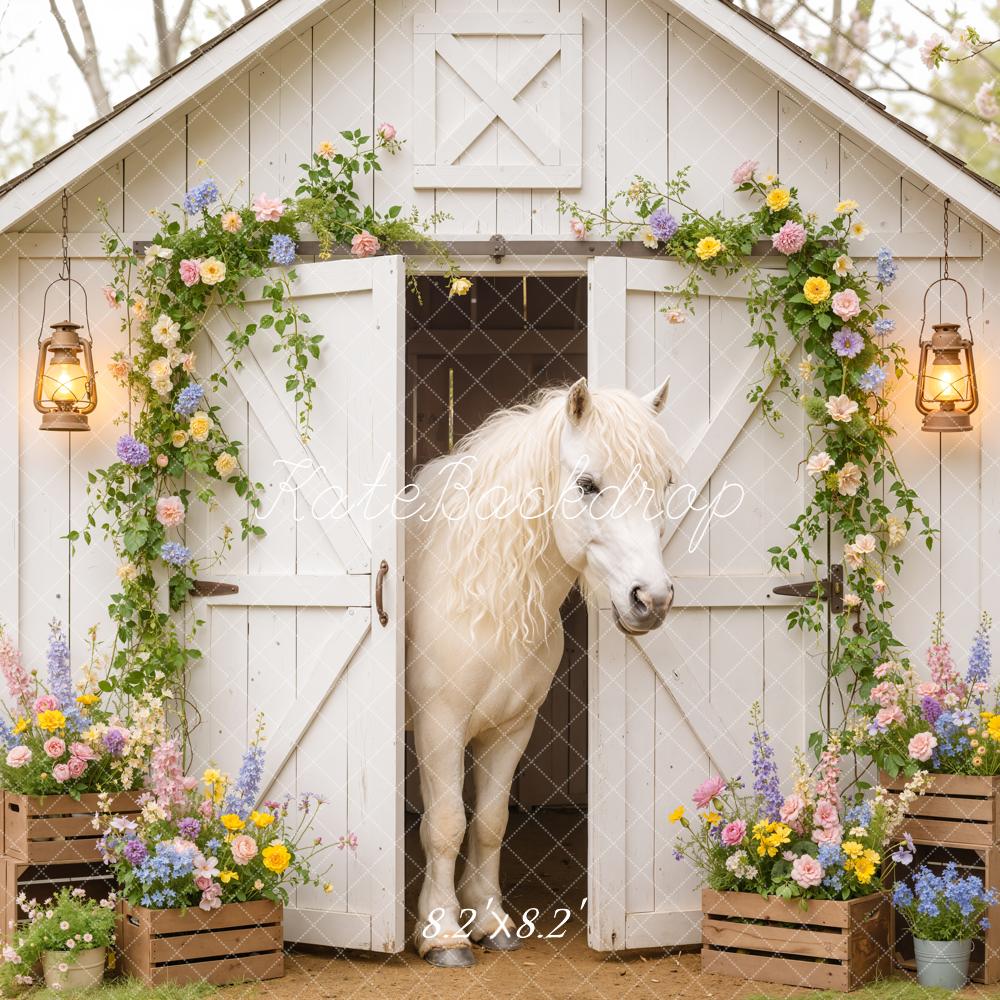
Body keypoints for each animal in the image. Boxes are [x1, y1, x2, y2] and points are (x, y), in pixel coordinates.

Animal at [404, 376, 679, 967]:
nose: (652, 599)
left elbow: (489, 823)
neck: (484, 599)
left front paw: (489, 920)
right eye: (587, 484)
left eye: (664, 484)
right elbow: (445, 824)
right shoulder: (440, 725)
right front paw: (442, 934)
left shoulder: (512, 728)